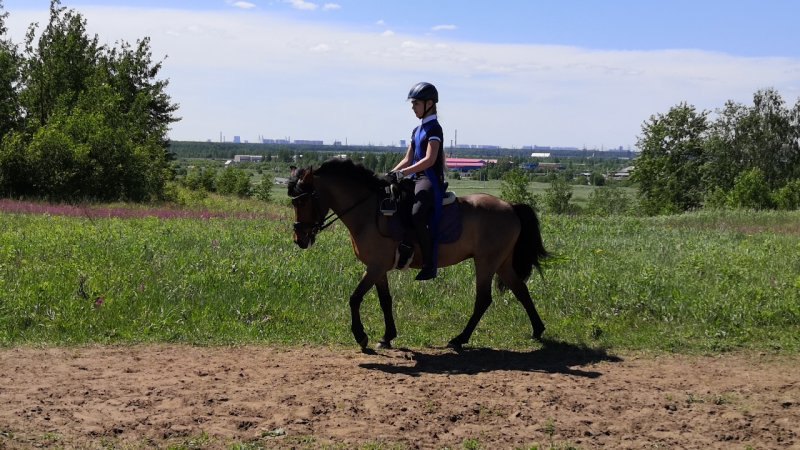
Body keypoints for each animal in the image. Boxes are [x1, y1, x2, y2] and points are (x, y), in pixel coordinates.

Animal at [290, 158, 552, 352]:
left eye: (302, 201)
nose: (299, 240)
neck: (368, 212)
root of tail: (510, 206)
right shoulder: (379, 268)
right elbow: (385, 300)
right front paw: (387, 337)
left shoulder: (375, 267)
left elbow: (354, 298)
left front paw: (361, 336)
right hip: (502, 263)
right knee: (521, 290)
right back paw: (537, 330)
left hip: (486, 262)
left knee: (483, 300)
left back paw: (459, 339)